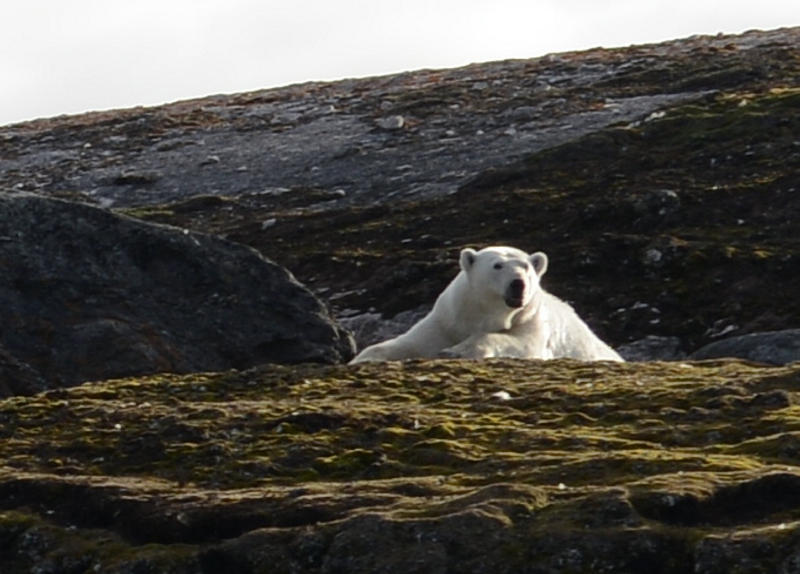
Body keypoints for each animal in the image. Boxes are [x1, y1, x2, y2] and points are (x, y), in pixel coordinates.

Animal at [352, 246, 624, 364]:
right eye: (497, 265)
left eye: (526, 267)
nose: (518, 284)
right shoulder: (446, 322)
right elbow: (410, 343)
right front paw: (363, 358)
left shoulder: (531, 321)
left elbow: (521, 343)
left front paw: (456, 351)